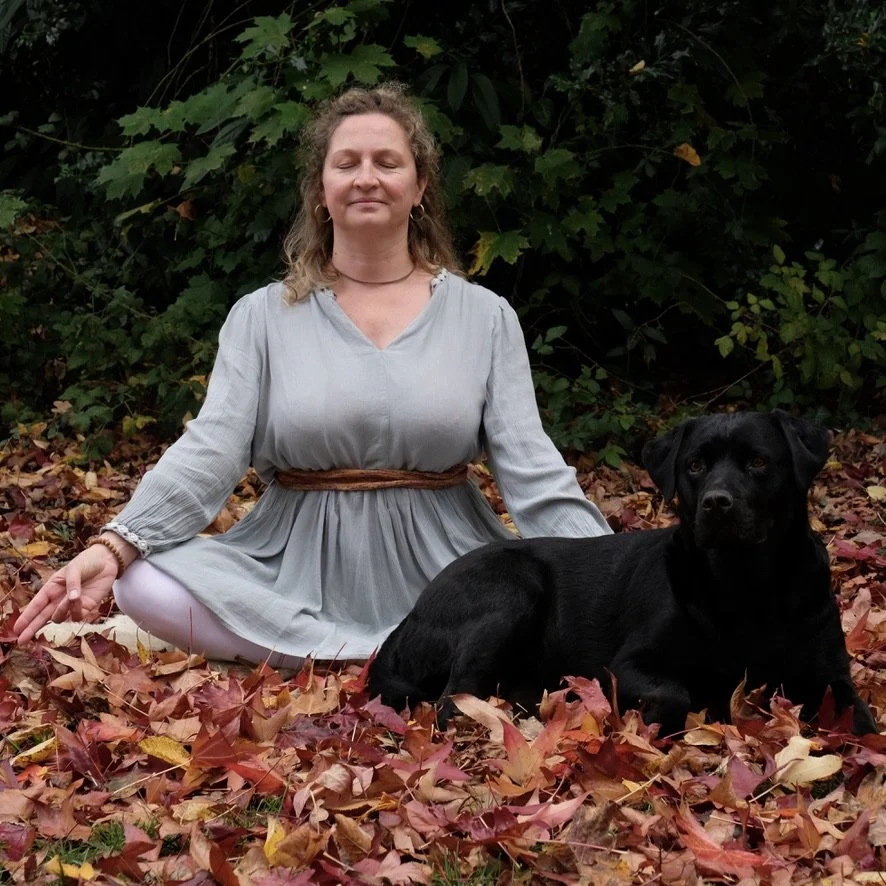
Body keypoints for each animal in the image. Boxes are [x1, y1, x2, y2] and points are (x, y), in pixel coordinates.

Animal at [369, 410, 877, 736]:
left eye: (759, 461)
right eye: (695, 465)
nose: (716, 503)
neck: (745, 585)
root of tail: (409, 615)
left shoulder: (829, 675)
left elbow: (863, 720)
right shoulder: (628, 665)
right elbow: (674, 693)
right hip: (510, 594)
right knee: (452, 701)